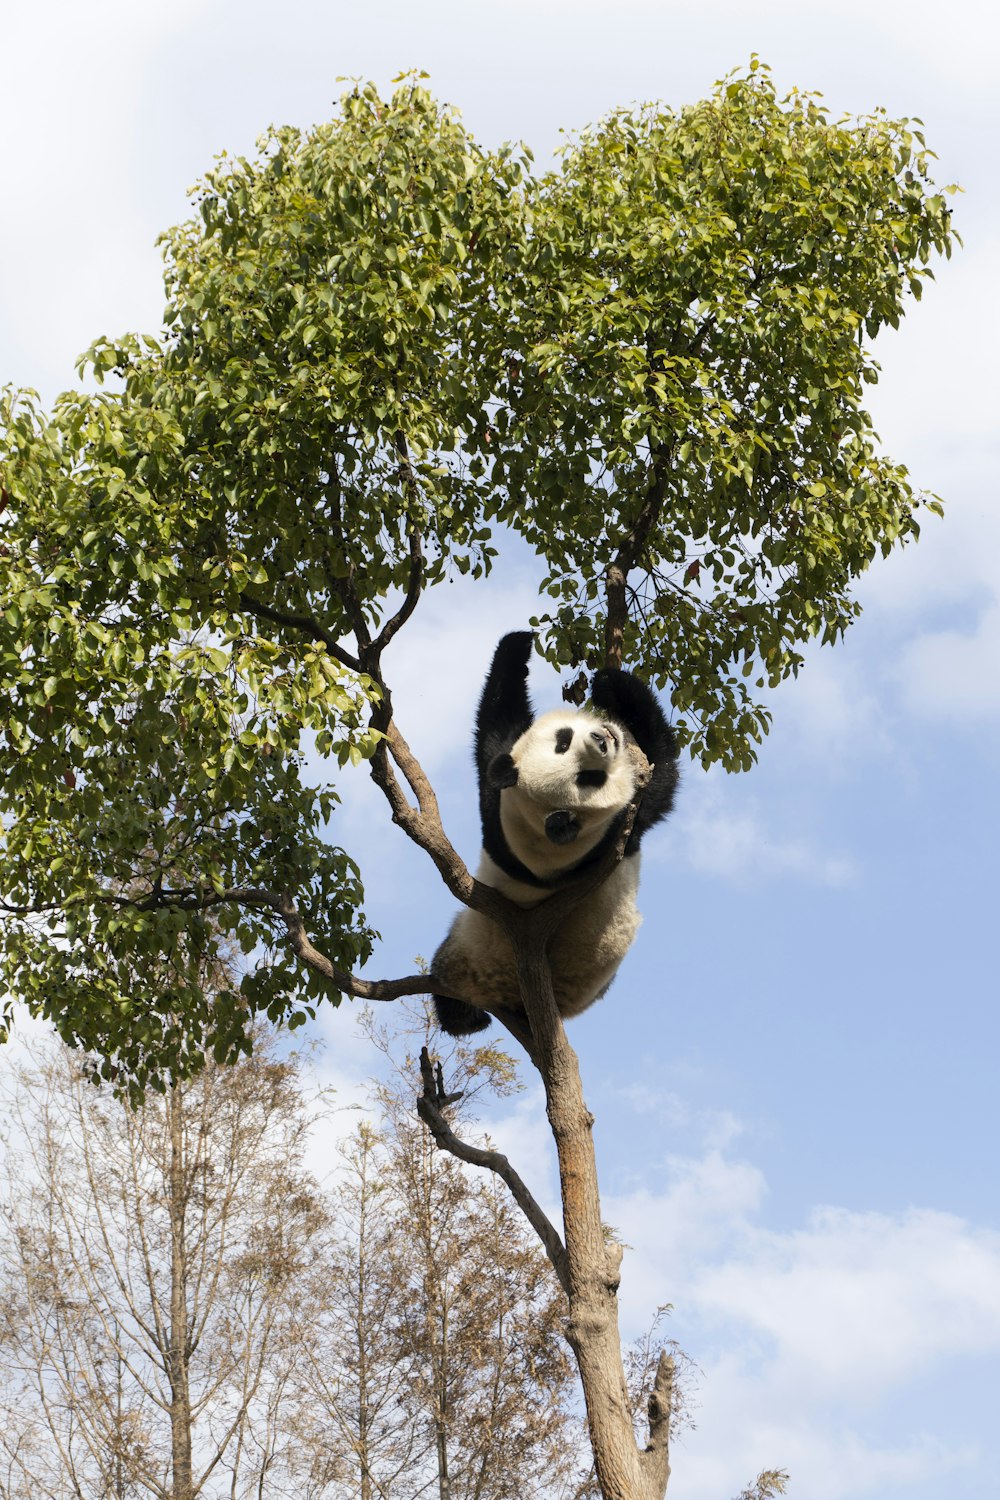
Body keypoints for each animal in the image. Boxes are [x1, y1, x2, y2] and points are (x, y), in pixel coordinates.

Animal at [431, 627, 680, 1038]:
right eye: (587, 778)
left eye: (563, 740)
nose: (603, 739)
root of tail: (504, 992)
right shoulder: (618, 833)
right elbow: (662, 774)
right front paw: (614, 685)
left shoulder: (495, 798)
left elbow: (495, 731)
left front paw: (518, 644)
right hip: (470, 950)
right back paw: (468, 1017)